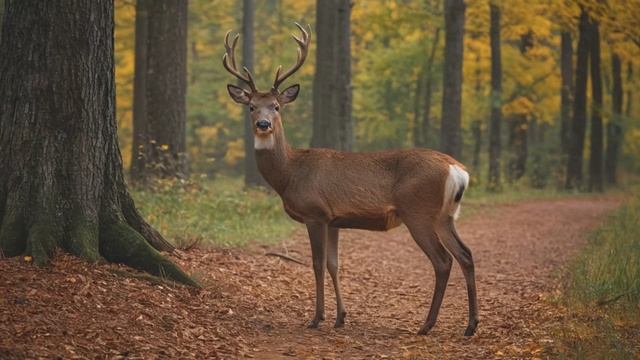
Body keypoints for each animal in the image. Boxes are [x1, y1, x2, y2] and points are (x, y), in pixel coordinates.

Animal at [222, 24, 478, 338]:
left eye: (276, 106)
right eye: (251, 107)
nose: (263, 124)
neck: (290, 173)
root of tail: (458, 169)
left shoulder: (315, 213)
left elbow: (317, 264)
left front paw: (316, 318)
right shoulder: (334, 220)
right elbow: (334, 265)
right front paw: (340, 317)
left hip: (418, 211)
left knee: (443, 261)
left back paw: (426, 325)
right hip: (446, 215)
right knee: (465, 254)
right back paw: (470, 325)